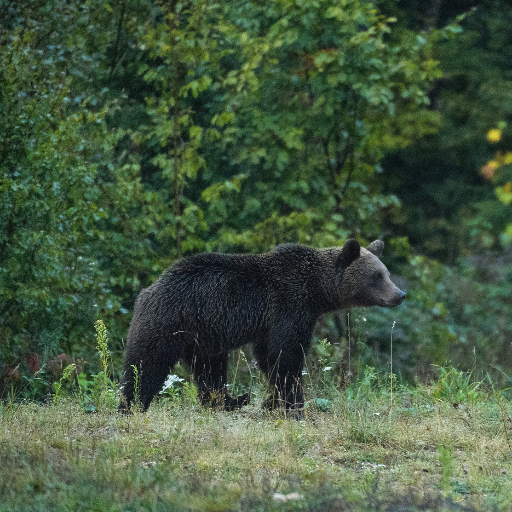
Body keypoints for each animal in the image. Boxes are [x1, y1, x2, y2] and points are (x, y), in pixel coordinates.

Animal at [119, 239, 404, 412]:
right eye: (377, 276)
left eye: (386, 273)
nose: (400, 294)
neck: (316, 291)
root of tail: (147, 290)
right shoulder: (290, 306)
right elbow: (287, 356)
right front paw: (294, 404)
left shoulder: (272, 323)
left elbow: (270, 357)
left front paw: (273, 401)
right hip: (168, 322)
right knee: (146, 364)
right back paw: (131, 406)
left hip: (202, 337)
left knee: (210, 371)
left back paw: (231, 400)